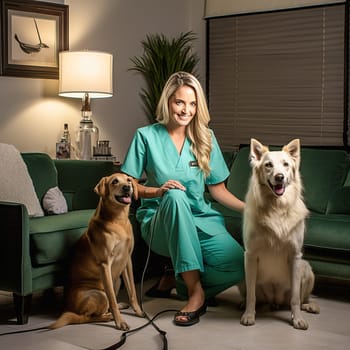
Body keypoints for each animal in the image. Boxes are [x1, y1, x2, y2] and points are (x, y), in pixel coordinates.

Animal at [48, 174, 144, 330]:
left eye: (128, 180)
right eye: (115, 181)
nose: (127, 187)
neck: (118, 220)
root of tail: (68, 308)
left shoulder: (127, 260)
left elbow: (132, 292)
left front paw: (138, 311)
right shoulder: (105, 264)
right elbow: (112, 298)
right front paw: (120, 322)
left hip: (117, 280)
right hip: (99, 294)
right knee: (88, 317)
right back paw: (108, 316)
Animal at [241, 138, 320, 330]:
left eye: (286, 164)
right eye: (268, 165)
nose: (279, 177)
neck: (276, 208)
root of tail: (275, 300)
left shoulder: (295, 256)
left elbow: (295, 298)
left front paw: (297, 319)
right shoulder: (250, 255)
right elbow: (251, 294)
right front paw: (248, 315)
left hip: (307, 270)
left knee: (302, 298)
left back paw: (309, 306)